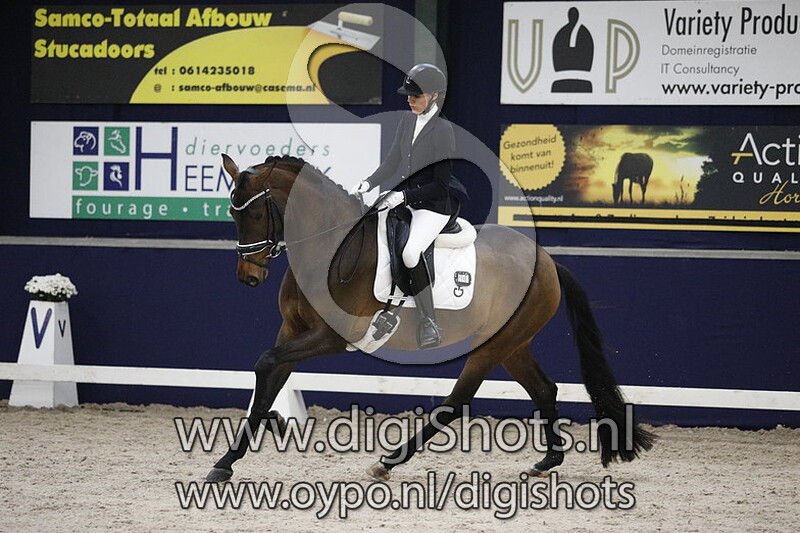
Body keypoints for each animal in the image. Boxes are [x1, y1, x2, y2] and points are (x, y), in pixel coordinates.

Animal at [206, 154, 655, 482]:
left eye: (256, 215)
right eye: (232, 215)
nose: (249, 277)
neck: (330, 245)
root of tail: (547, 262)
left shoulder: (330, 337)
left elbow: (266, 363)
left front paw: (272, 427)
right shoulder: (293, 330)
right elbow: (269, 373)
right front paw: (231, 458)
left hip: (494, 345)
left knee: (455, 404)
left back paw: (388, 461)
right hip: (514, 345)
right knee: (544, 390)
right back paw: (546, 463)